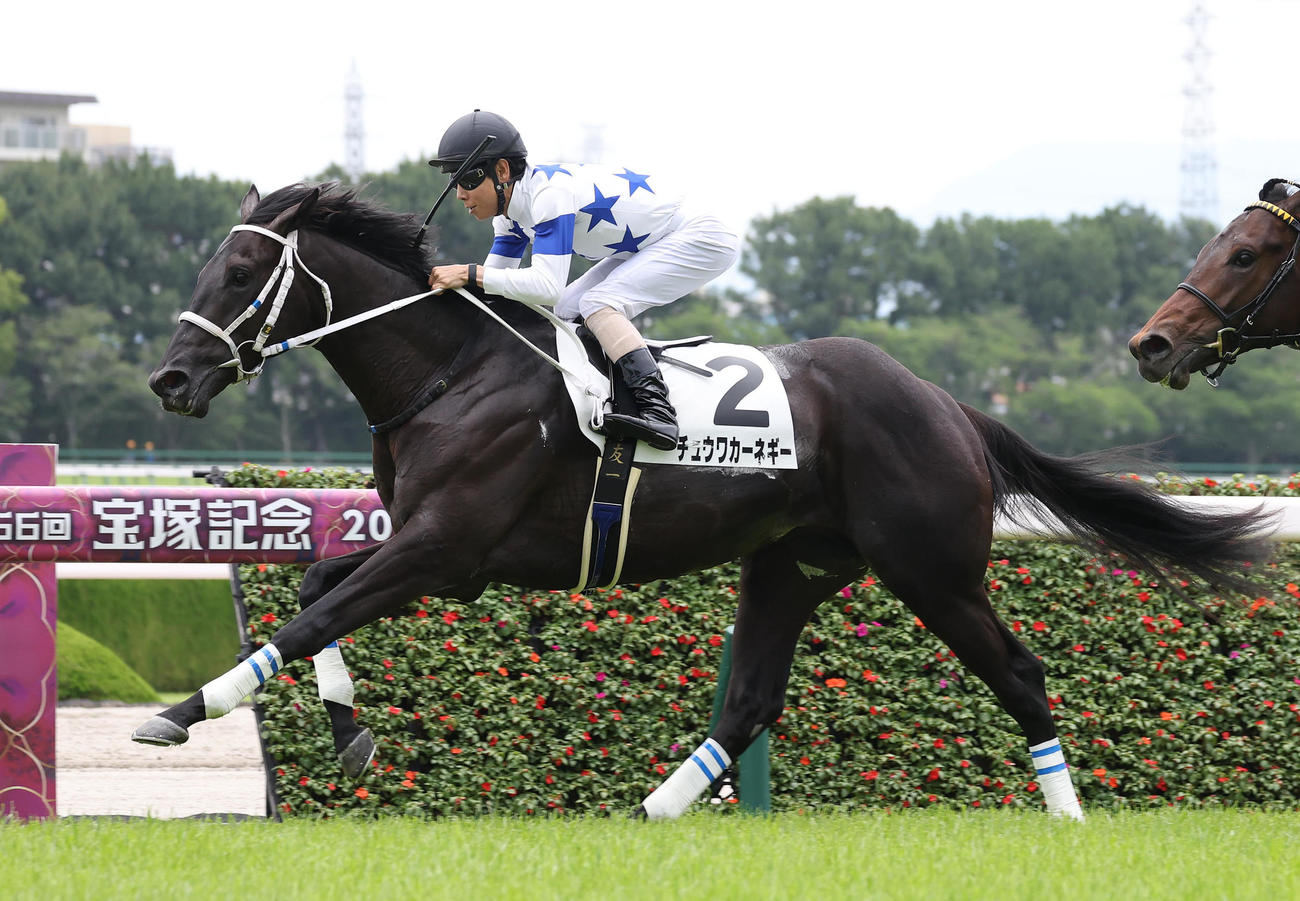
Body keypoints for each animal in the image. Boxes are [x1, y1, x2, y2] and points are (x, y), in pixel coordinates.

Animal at [137, 182, 1275, 820]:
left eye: (241, 269)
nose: (170, 380)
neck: (453, 372)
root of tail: (946, 402)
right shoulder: (443, 556)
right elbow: (314, 592)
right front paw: (345, 730)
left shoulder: (444, 547)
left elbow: (310, 610)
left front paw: (184, 710)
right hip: (791, 563)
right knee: (750, 697)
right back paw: (651, 811)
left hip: (932, 569)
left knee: (1020, 672)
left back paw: (1068, 813)